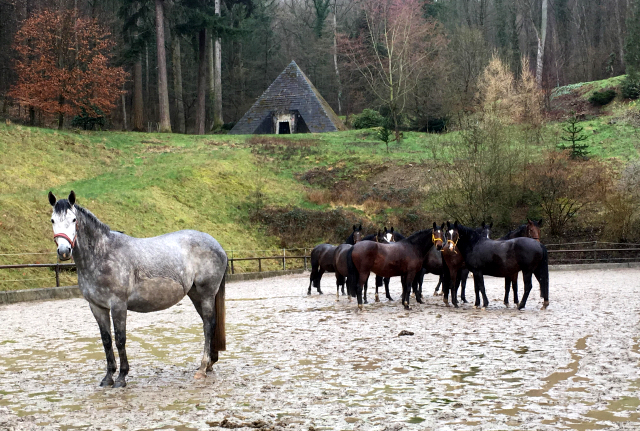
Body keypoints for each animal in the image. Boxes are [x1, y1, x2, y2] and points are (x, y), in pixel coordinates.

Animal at [48, 191, 228, 386]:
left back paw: (202, 368)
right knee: (208, 323)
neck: (102, 254)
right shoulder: (97, 307)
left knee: (208, 324)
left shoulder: (118, 305)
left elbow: (120, 339)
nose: (64, 251)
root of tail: (217, 245)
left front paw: (121, 377)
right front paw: (108, 377)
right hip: (195, 294)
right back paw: (209, 364)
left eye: (73, 219)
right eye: (52, 220)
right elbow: (106, 341)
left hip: (207, 293)